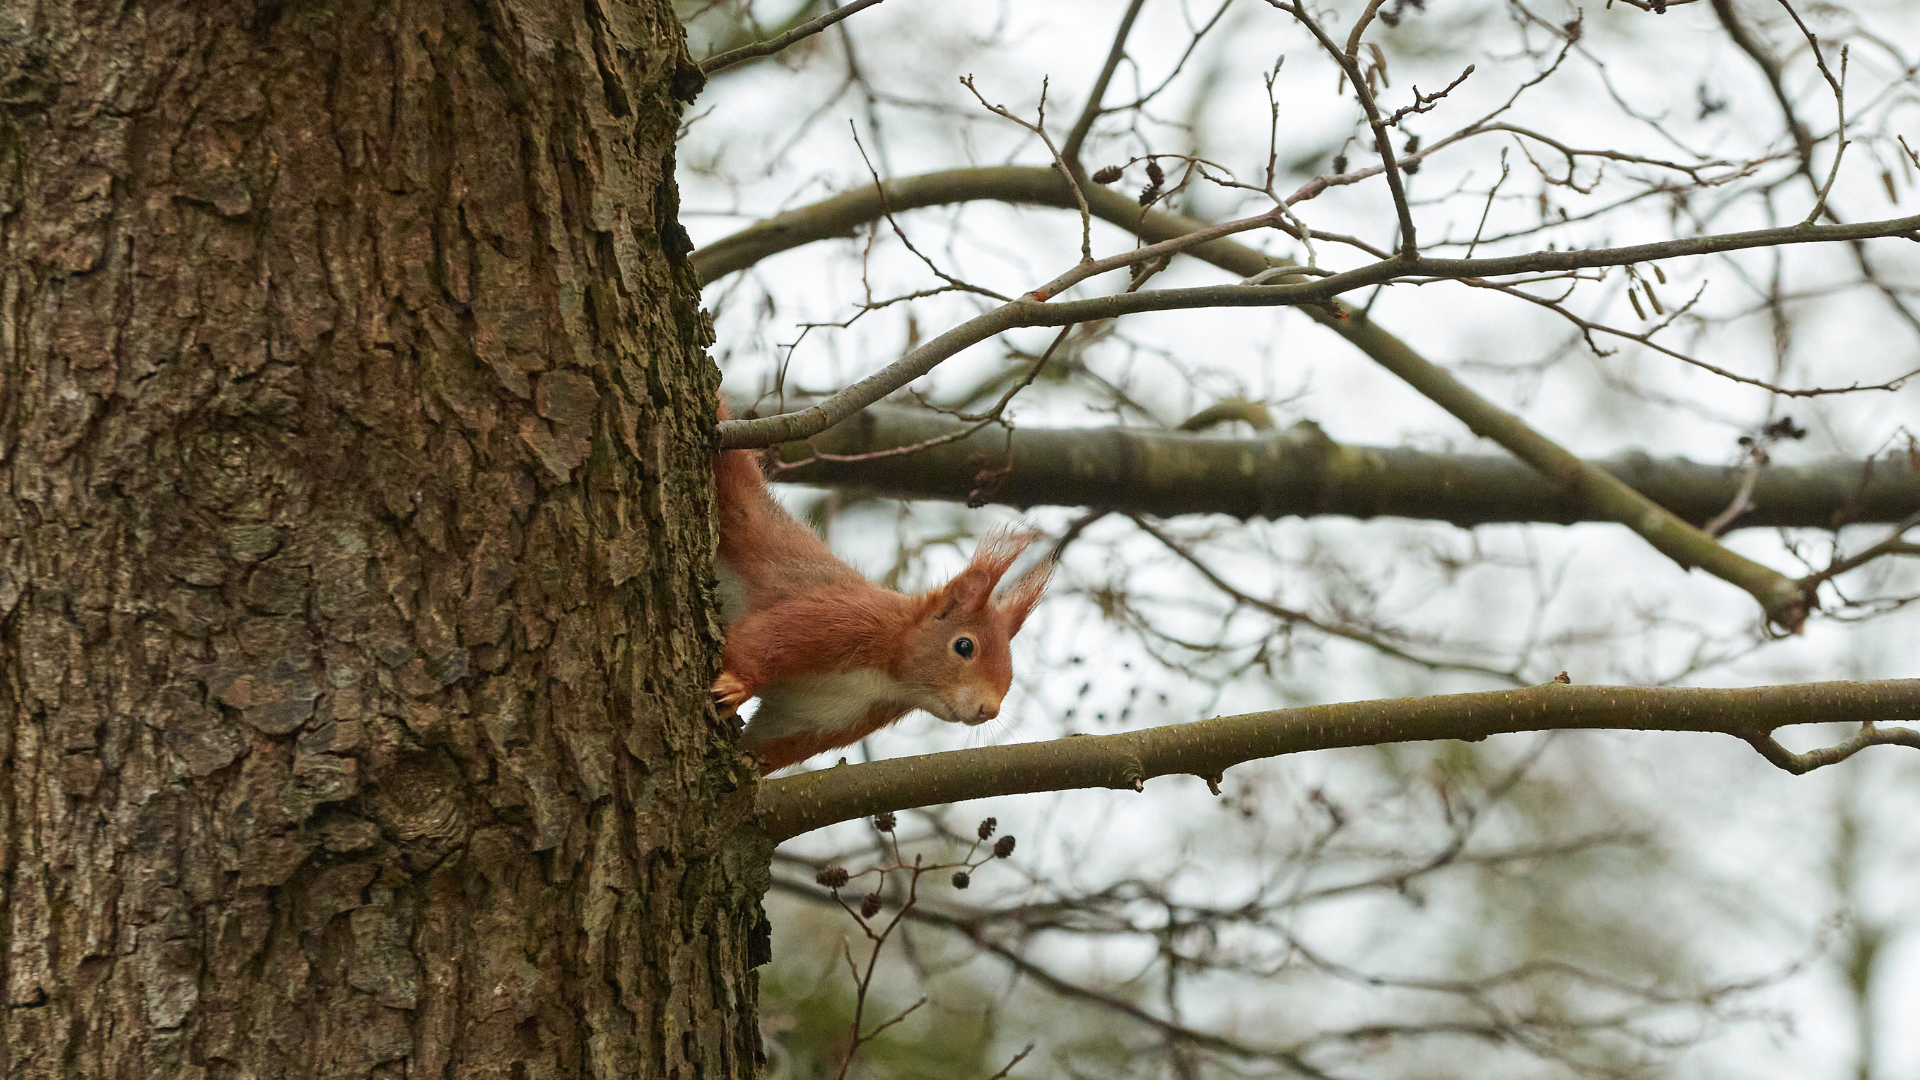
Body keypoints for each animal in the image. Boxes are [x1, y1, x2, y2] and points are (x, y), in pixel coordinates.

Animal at [711, 399, 1051, 773]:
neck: (891, 677)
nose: (988, 710)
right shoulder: (845, 622)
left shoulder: (829, 718)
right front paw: (735, 683)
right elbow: (763, 638)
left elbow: (772, 742)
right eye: (964, 646)